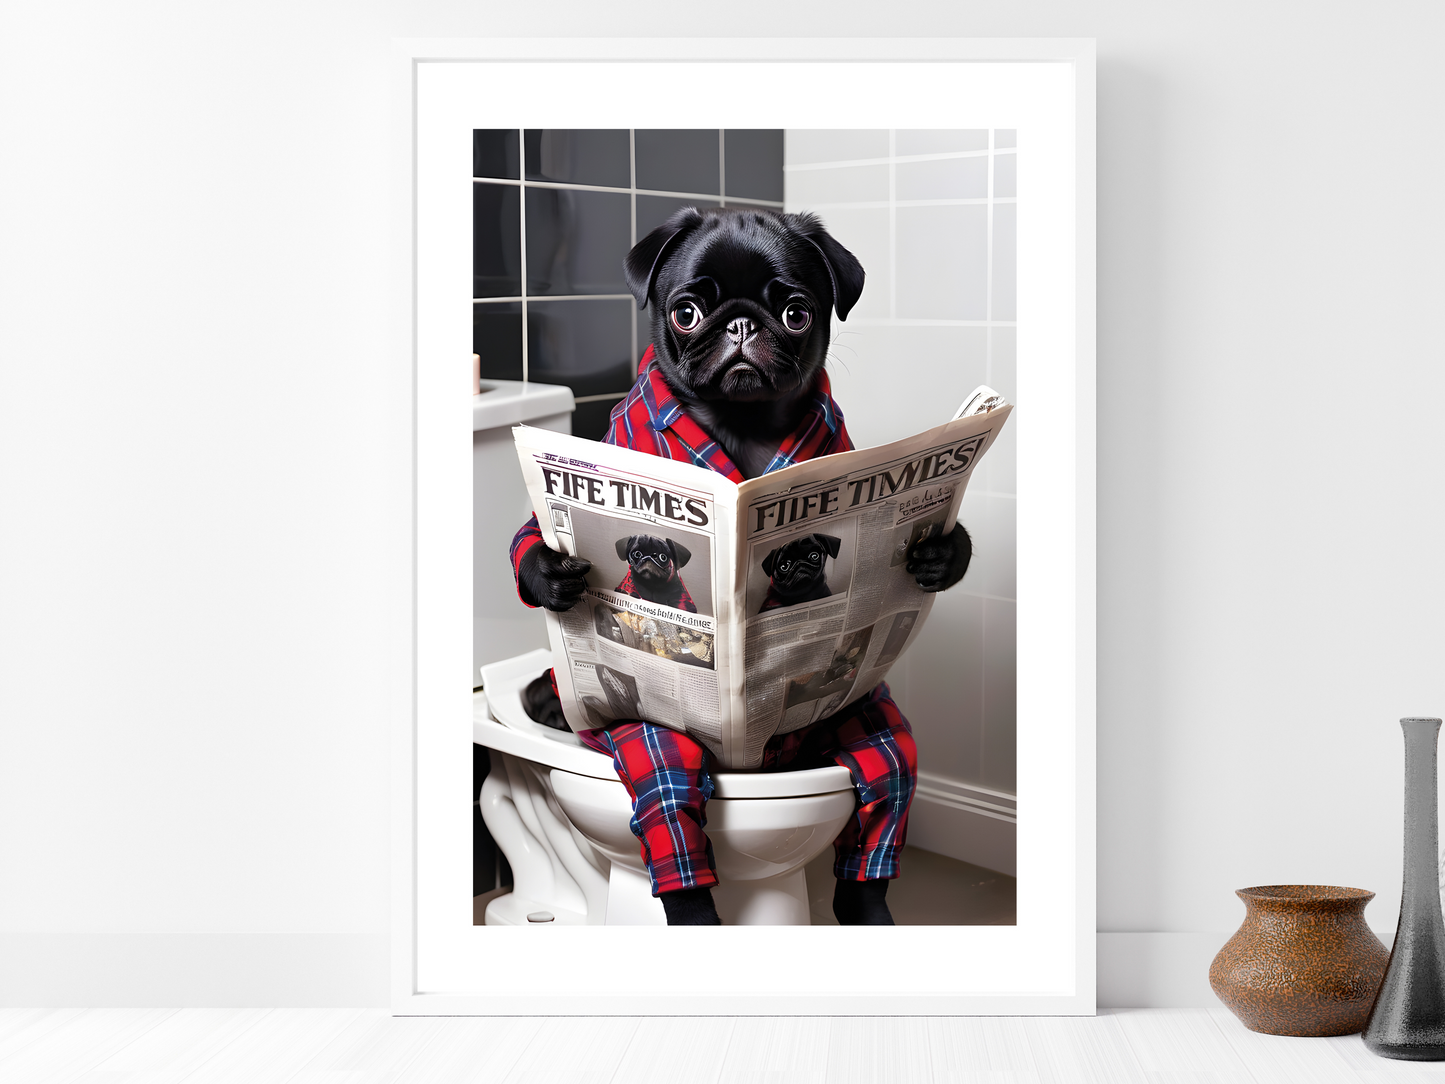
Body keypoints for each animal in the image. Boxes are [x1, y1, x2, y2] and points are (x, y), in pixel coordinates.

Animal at [520, 205, 971, 731]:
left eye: (796, 314)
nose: (740, 325)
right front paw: (552, 574)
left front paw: (944, 553)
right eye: (686, 314)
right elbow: (531, 534)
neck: (743, 422)